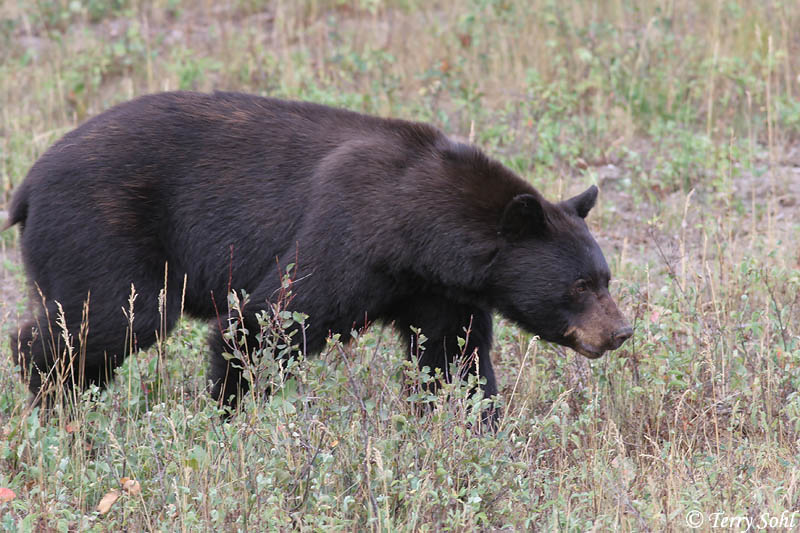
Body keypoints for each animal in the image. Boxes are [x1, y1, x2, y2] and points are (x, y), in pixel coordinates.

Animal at [4, 91, 632, 410]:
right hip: (98, 226)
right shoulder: (348, 235)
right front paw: (230, 411)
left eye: (605, 279)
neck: (418, 228)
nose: (621, 331)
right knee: (110, 317)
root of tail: (27, 186)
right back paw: (56, 400)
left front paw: (473, 427)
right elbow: (266, 321)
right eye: (579, 285)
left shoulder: (437, 291)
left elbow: (453, 359)